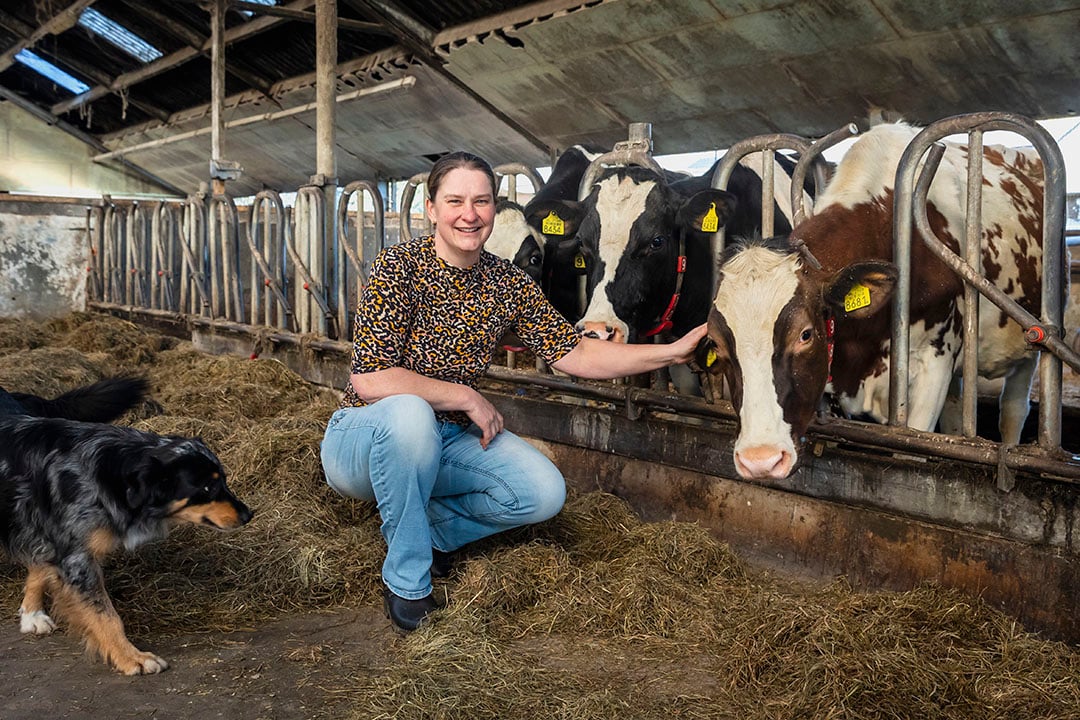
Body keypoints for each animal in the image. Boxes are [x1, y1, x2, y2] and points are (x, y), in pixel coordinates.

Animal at [0, 382, 251, 677]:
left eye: (224, 480)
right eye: (207, 488)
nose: (248, 515)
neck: (109, 474)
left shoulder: (51, 533)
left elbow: (40, 566)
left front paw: (32, 614)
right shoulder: (77, 557)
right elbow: (106, 616)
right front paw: (132, 657)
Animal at [695, 122, 1049, 483]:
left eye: (805, 334)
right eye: (717, 344)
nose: (760, 459)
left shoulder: (935, 362)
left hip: (1028, 345)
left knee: (1013, 410)